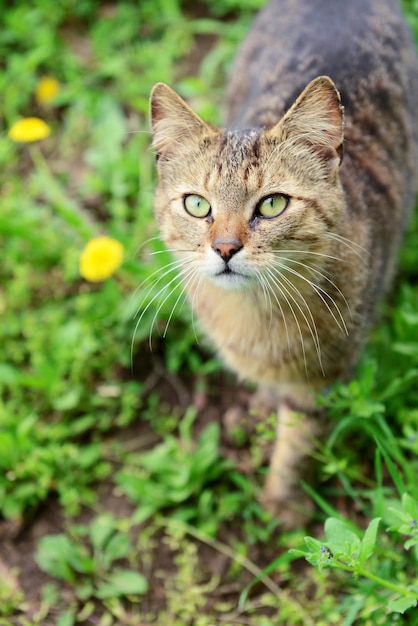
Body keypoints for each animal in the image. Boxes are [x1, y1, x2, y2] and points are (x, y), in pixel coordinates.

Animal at [149, 0, 418, 524]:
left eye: (272, 204)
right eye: (197, 205)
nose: (225, 248)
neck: (254, 318)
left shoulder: (324, 379)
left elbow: (299, 441)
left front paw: (283, 504)